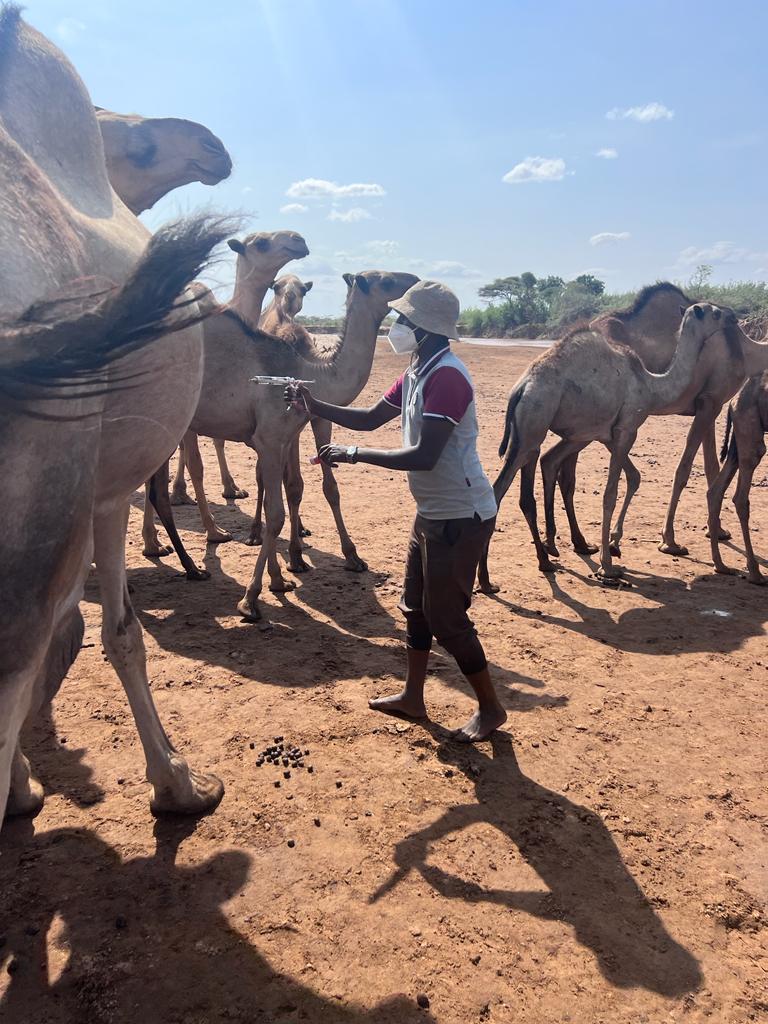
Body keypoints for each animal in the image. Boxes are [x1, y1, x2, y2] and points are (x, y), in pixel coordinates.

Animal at [182, 268, 421, 618]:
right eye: (386, 281)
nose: (415, 279)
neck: (309, 372)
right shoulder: (269, 438)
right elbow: (277, 513)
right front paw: (251, 599)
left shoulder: (285, 436)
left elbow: (295, 493)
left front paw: (281, 578)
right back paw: (205, 542)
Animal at [479, 301, 729, 593]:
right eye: (714, 312)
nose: (733, 317)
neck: (651, 386)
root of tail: (520, 389)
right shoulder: (627, 429)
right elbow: (610, 493)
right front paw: (608, 566)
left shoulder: (606, 434)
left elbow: (632, 477)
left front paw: (611, 546)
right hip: (534, 424)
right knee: (501, 491)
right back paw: (492, 578)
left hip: (533, 434)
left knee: (526, 482)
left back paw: (529, 564)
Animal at [708, 374, 768, 585]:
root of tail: (733, 403)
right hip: (749, 427)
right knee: (741, 498)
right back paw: (755, 574)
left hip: (739, 433)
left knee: (715, 491)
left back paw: (720, 565)